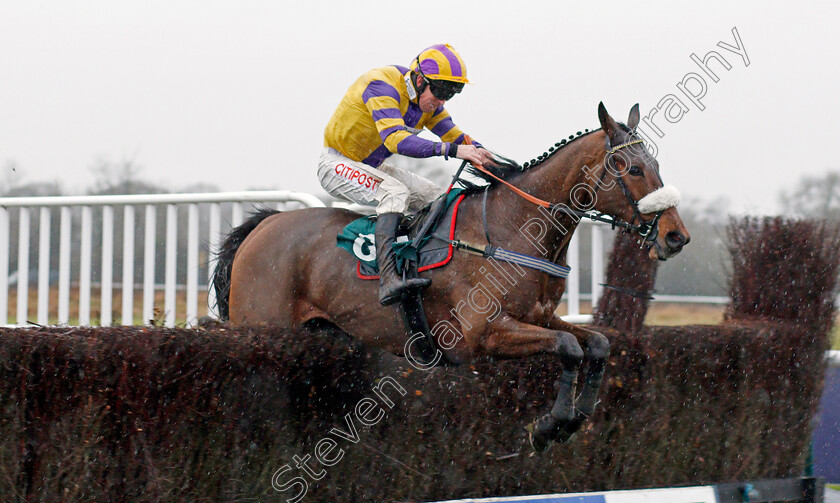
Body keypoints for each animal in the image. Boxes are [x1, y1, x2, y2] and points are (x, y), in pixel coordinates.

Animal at [208, 101, 688, 448]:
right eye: (634, 169)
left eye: (657, 166)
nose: (676, 236)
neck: (514, 228)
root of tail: (264, 225)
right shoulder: (482, 334)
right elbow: (569, 348)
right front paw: (551, 424)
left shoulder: (541, 317)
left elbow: (598, 344)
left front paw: (575, 417)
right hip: (262, 324)